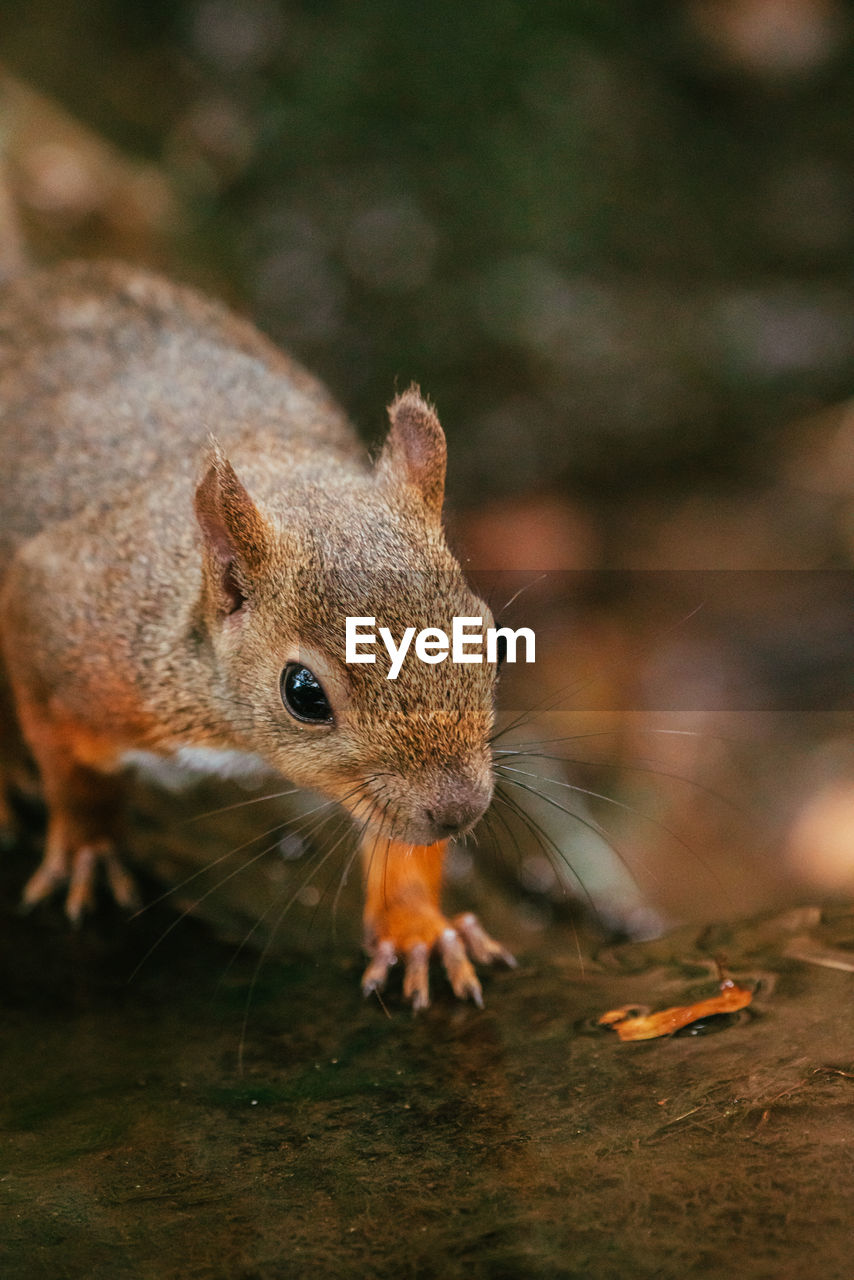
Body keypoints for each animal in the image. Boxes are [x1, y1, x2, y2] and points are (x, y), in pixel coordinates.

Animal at [0, 259, 514, 1008]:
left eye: (489, 637)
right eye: (304, 693)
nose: (458, 812)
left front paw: (418, 928)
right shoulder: (59, 620)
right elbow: (70, 767)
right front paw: (88, 844)